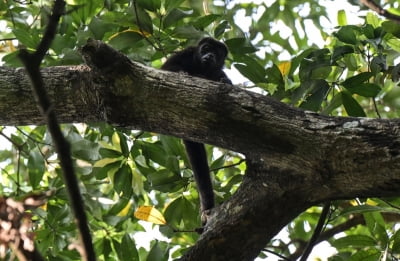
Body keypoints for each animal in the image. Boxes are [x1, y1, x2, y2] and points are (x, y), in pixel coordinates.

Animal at [161, 37, 231, 223]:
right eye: (206, 48)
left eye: (217, 53)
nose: (210, 55)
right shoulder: (185, 53)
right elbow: (166, 69)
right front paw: (185, 73)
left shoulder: (218, 70)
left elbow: (224, 79)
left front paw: (224, 82)